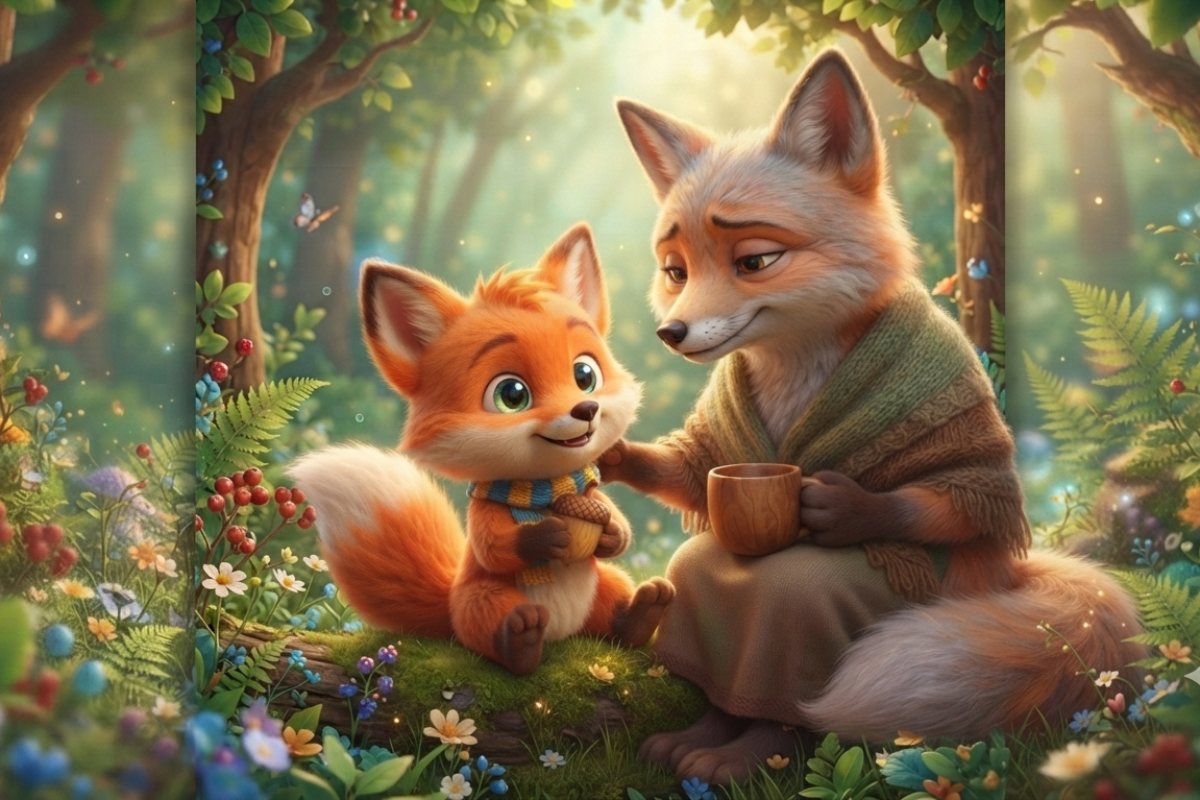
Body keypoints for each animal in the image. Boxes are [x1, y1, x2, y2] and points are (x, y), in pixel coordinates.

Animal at [289, 224, 675, 675]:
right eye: (512, 395)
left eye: (584, 374)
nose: (586, 409)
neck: (548, 487)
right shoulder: (484, 517)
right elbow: (495, 550)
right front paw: (544, 537)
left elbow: (618, 526)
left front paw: (612, 532)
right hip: (480, 601)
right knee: (498, 630)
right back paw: (521, 641)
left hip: (606, 583)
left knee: (617, 617)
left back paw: (642, 613)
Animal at [599, 49, 1145, 783]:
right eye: (675, 271)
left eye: (756, 261)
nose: (671, 333)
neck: (798, 367)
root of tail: (1008, 580)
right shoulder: (720, 445)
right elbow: (687, 473)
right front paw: (611, 451)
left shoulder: (954, 408)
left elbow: (954, 502)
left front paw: (845, 507)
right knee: (698, 573)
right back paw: (701, 736)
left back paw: (745, 750)